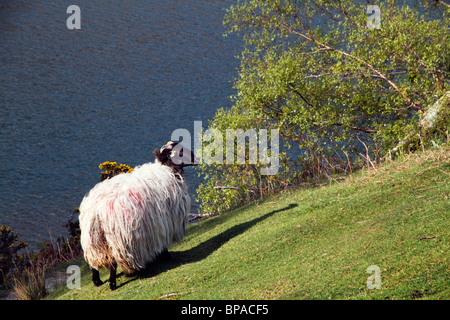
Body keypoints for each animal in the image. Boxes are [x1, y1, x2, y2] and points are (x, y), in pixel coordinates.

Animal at [78, 141, 197, 290]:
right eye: (180, 151)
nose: (196, 158)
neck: (168, 169)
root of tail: (95, 211)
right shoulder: (164, 220)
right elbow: (163, 241)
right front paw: (166, 255)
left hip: (92, 240)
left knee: (94, 262)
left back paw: (97, 281)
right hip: (118, 238)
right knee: (113, 262)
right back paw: (112, 283)